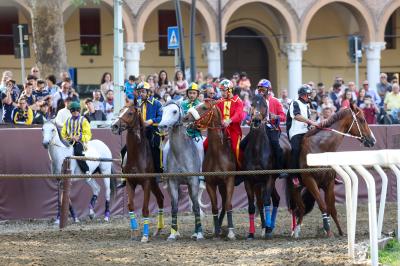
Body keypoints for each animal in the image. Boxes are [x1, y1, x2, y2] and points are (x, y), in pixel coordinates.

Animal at [110, 104, 165, 243]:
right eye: (120, 110)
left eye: (130, 113)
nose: (114, 126)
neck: (137, 155)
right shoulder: (131, 182)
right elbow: (130, 205)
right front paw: (134, 232)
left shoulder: (146, 183)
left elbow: (145, 209)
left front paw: (145, 236)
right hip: (154, 183)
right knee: (160, 199)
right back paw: (158, 229)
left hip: (153, 183)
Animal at [158, 100, 205, 241]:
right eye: (162, 111)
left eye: (174, 111)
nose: (162, 126)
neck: (180, 154)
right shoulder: (173, 183)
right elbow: (174, 207)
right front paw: (173, 234)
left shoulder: (193, 181)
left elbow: (196, 206)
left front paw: (199, 234)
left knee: (195, 204)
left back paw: (196, 232)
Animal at [182, 98, 238, 240]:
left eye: (204, 108)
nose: (185, 117)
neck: (219, 154)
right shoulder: (211, 184)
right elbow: (214, 207)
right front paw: (217, 231)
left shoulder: (229, 181)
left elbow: (229, 204)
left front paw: (231, 232)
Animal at [241, 95, 284, 239]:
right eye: (252, 104)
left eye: (265, 105)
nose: (256, 120)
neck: (257, 150)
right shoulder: (249, 180)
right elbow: (252, 206)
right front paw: (251, 233)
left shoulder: (269, 178)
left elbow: (266, 202)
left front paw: (269, 229)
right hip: (258, 184)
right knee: (265, 201)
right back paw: (265, 227)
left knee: (273, 200)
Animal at [286, 103, 376, 238]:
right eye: (362, 120)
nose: (373, 140)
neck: (320, 148)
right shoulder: (310, 181)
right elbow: (323, 206)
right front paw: (328, 230)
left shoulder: (329, 183)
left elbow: (331, 208)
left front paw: (339, 231)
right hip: (295, 187)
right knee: (299, 207)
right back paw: (295, 230)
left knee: (301, 208)